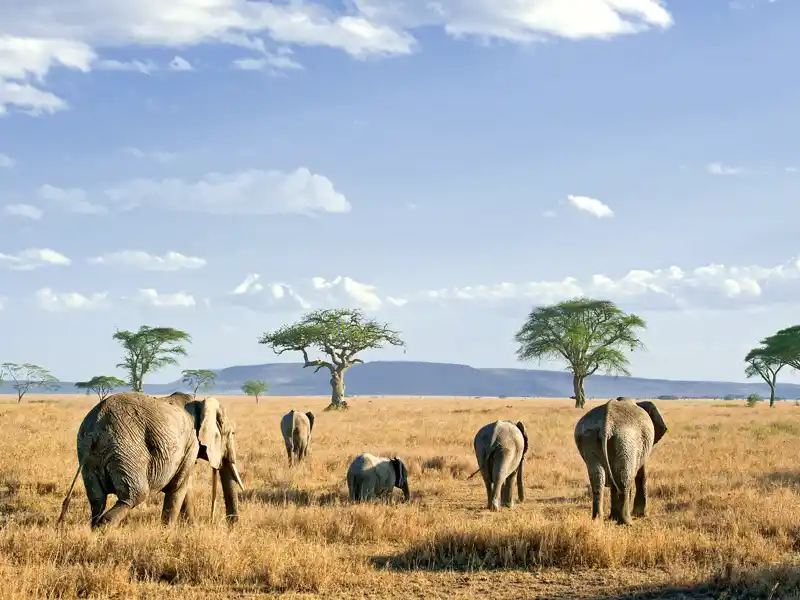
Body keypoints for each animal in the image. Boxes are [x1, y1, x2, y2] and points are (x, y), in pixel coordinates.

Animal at [57, 392, 244, 528]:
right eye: (232, 433)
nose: (231, 527)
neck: (200, 403)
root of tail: (95, 428)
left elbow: (184, 487)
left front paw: (192, 530)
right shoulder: (191, 443)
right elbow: (178, 487)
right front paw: (167, 533)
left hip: (88, 455)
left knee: (97, 500)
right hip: (126, 450)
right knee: (135, 495)